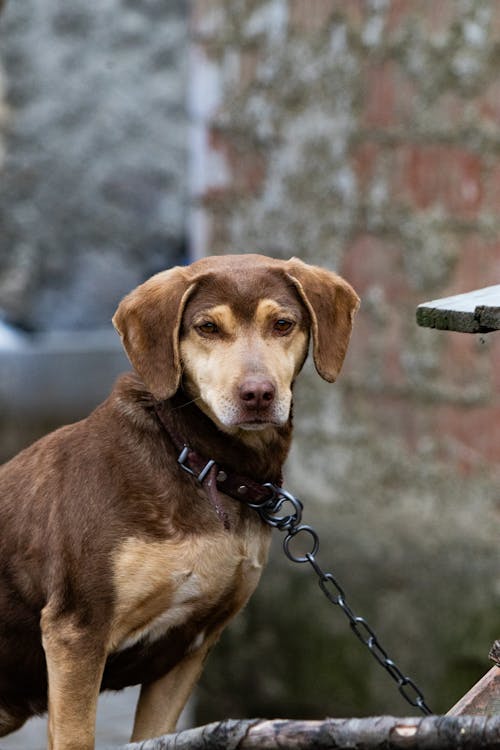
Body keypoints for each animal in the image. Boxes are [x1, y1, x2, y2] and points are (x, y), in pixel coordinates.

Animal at [0, 256, 360, 748]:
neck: (199, 460)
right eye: (207, 327)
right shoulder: (77, 631)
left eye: (283, 324)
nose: (258, 394)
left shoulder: (190, 645)